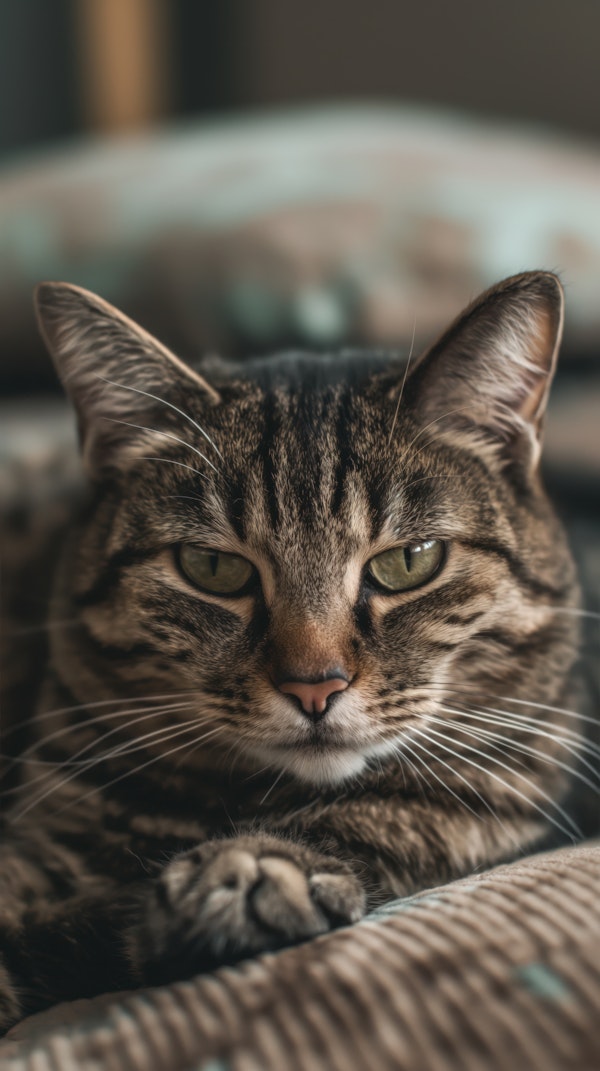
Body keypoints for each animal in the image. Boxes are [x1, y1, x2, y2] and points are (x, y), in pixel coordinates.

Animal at [0, 269, 591, 1028]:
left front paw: (253, 871)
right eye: (211, 567)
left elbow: (401, 814)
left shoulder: (512, 779)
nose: (314, 685)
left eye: (410, 561)